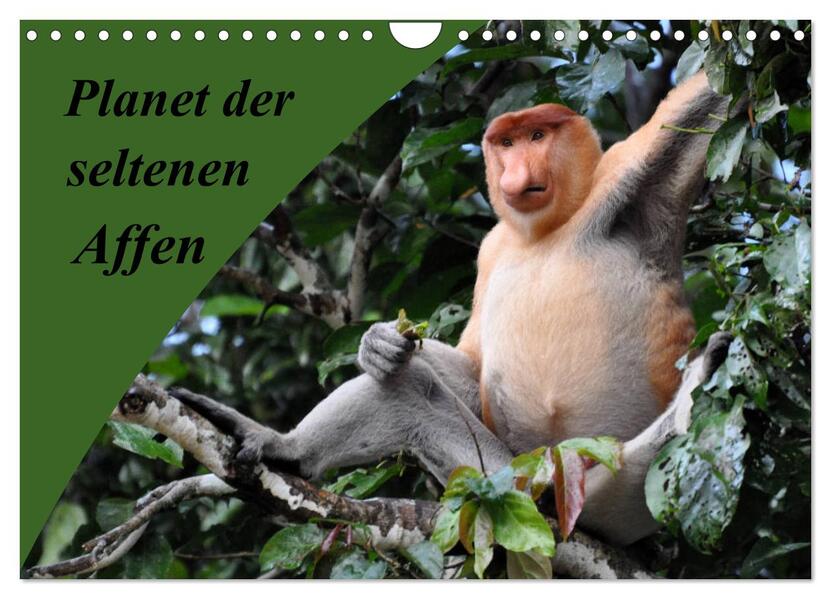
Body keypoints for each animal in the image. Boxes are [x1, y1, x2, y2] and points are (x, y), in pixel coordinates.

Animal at [176, 71, 734, 545]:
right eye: (506, 143)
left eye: (537, 136)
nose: (515, 172)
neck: (548, 231)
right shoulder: (490, 249)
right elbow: (470, 364)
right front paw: (377, 344)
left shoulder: (625, 180)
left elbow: (700, 103)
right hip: (505, 477)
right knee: (403, 395)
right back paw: (285, 450)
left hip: (608, 490)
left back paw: (695, 385)